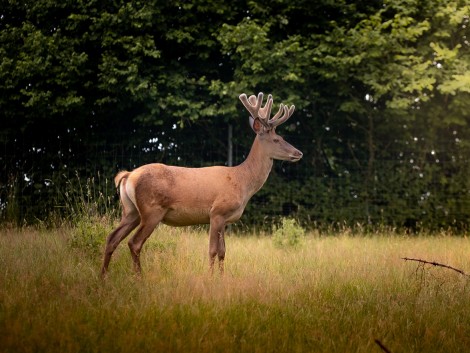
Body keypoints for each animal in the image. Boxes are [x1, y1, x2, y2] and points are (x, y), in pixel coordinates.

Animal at [101, 92, 302, 276]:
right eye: (277, 139)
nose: (298, 153)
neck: (242, 182)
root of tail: (128, 175)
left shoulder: (226, 219)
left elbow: (223, 252)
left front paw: (221, 278)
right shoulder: (217, 212)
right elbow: (212, 250)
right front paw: (210, 278)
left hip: (131, 210)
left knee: (112, 237)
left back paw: (104, 276)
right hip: (152, 210)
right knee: (134, 242)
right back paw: (138, 276)